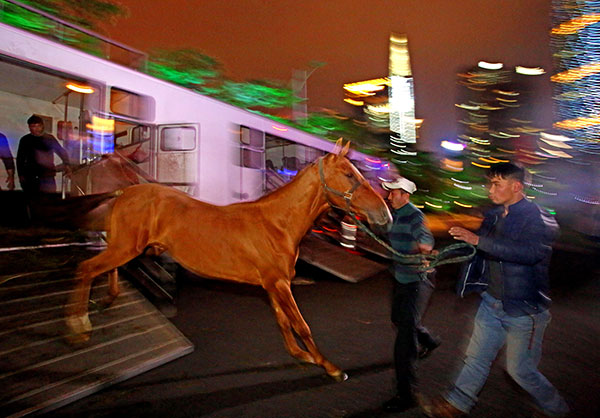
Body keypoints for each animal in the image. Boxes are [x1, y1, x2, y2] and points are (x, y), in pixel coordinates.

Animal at [67, 140, 394, 378]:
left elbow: (283, 321)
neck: (277, 223)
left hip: (129, 247)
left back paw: (107, 300)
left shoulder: (274, 284)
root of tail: (124, 192)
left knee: (108, 268)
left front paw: (301, 355)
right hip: (126, 247)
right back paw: (79, 326)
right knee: (86, 269)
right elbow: (301, 325)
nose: (385, 215)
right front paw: (330, 367)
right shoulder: (279, 283)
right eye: (350, 174)